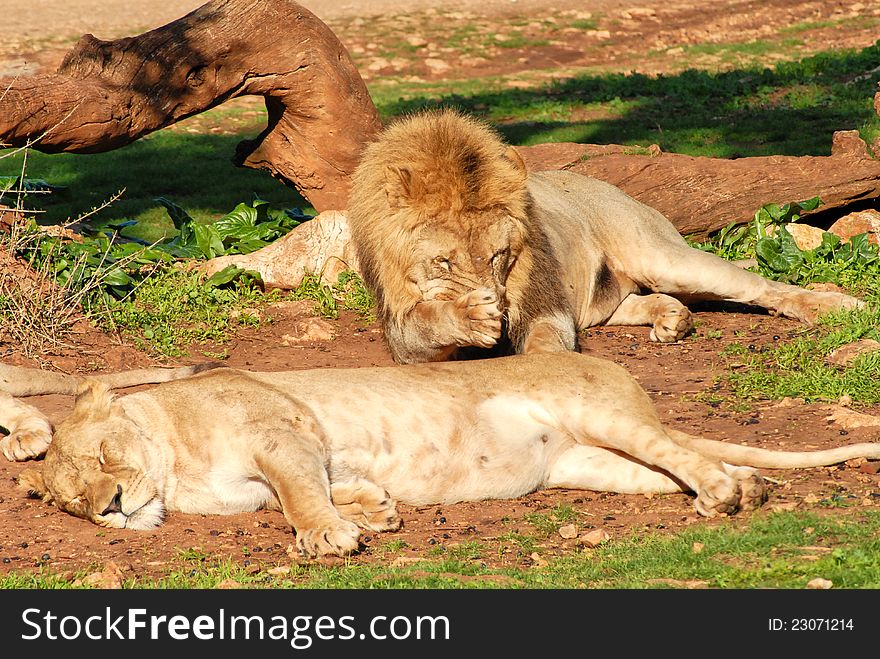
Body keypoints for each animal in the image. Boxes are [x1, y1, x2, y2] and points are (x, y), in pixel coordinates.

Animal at [348, 111, 864, 364]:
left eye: (499, 255)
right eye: (444, 263)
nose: (493, 304)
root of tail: (614, 188)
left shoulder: (543, 304)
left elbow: (545, 341)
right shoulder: (400, 329)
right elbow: (424, 325)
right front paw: (468, 316)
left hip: (664, 257)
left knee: (762, 287)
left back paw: (836, 307)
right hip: (610, 298)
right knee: (637, 303)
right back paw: (671, 319)